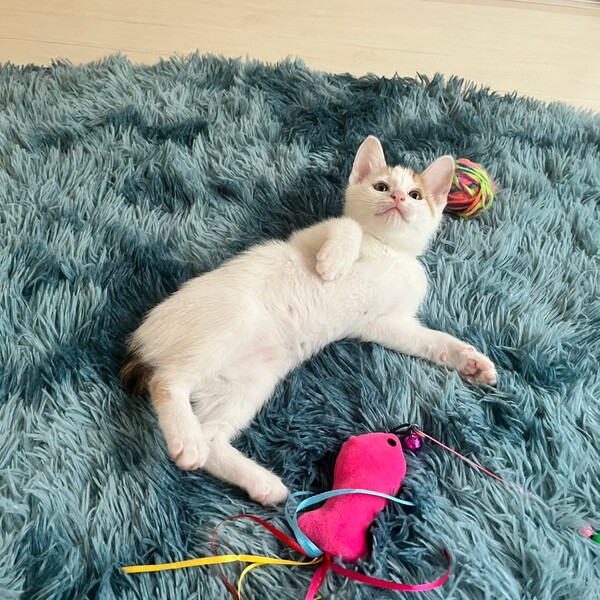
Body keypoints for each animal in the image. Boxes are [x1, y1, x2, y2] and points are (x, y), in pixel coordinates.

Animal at [121, 136, 497, 507]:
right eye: (381, 186)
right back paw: (187, 440)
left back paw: (261, 482)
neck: (389, 250)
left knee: (212, 439)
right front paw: (334, 263)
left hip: (248, 384)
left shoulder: (386, 323)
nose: (398, 197)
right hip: (230, 321)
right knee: (167, 380)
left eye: (416, 195)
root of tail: (141, 338)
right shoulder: (310, 237)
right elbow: (347, 225)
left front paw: (471, 361)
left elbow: (431, 340)